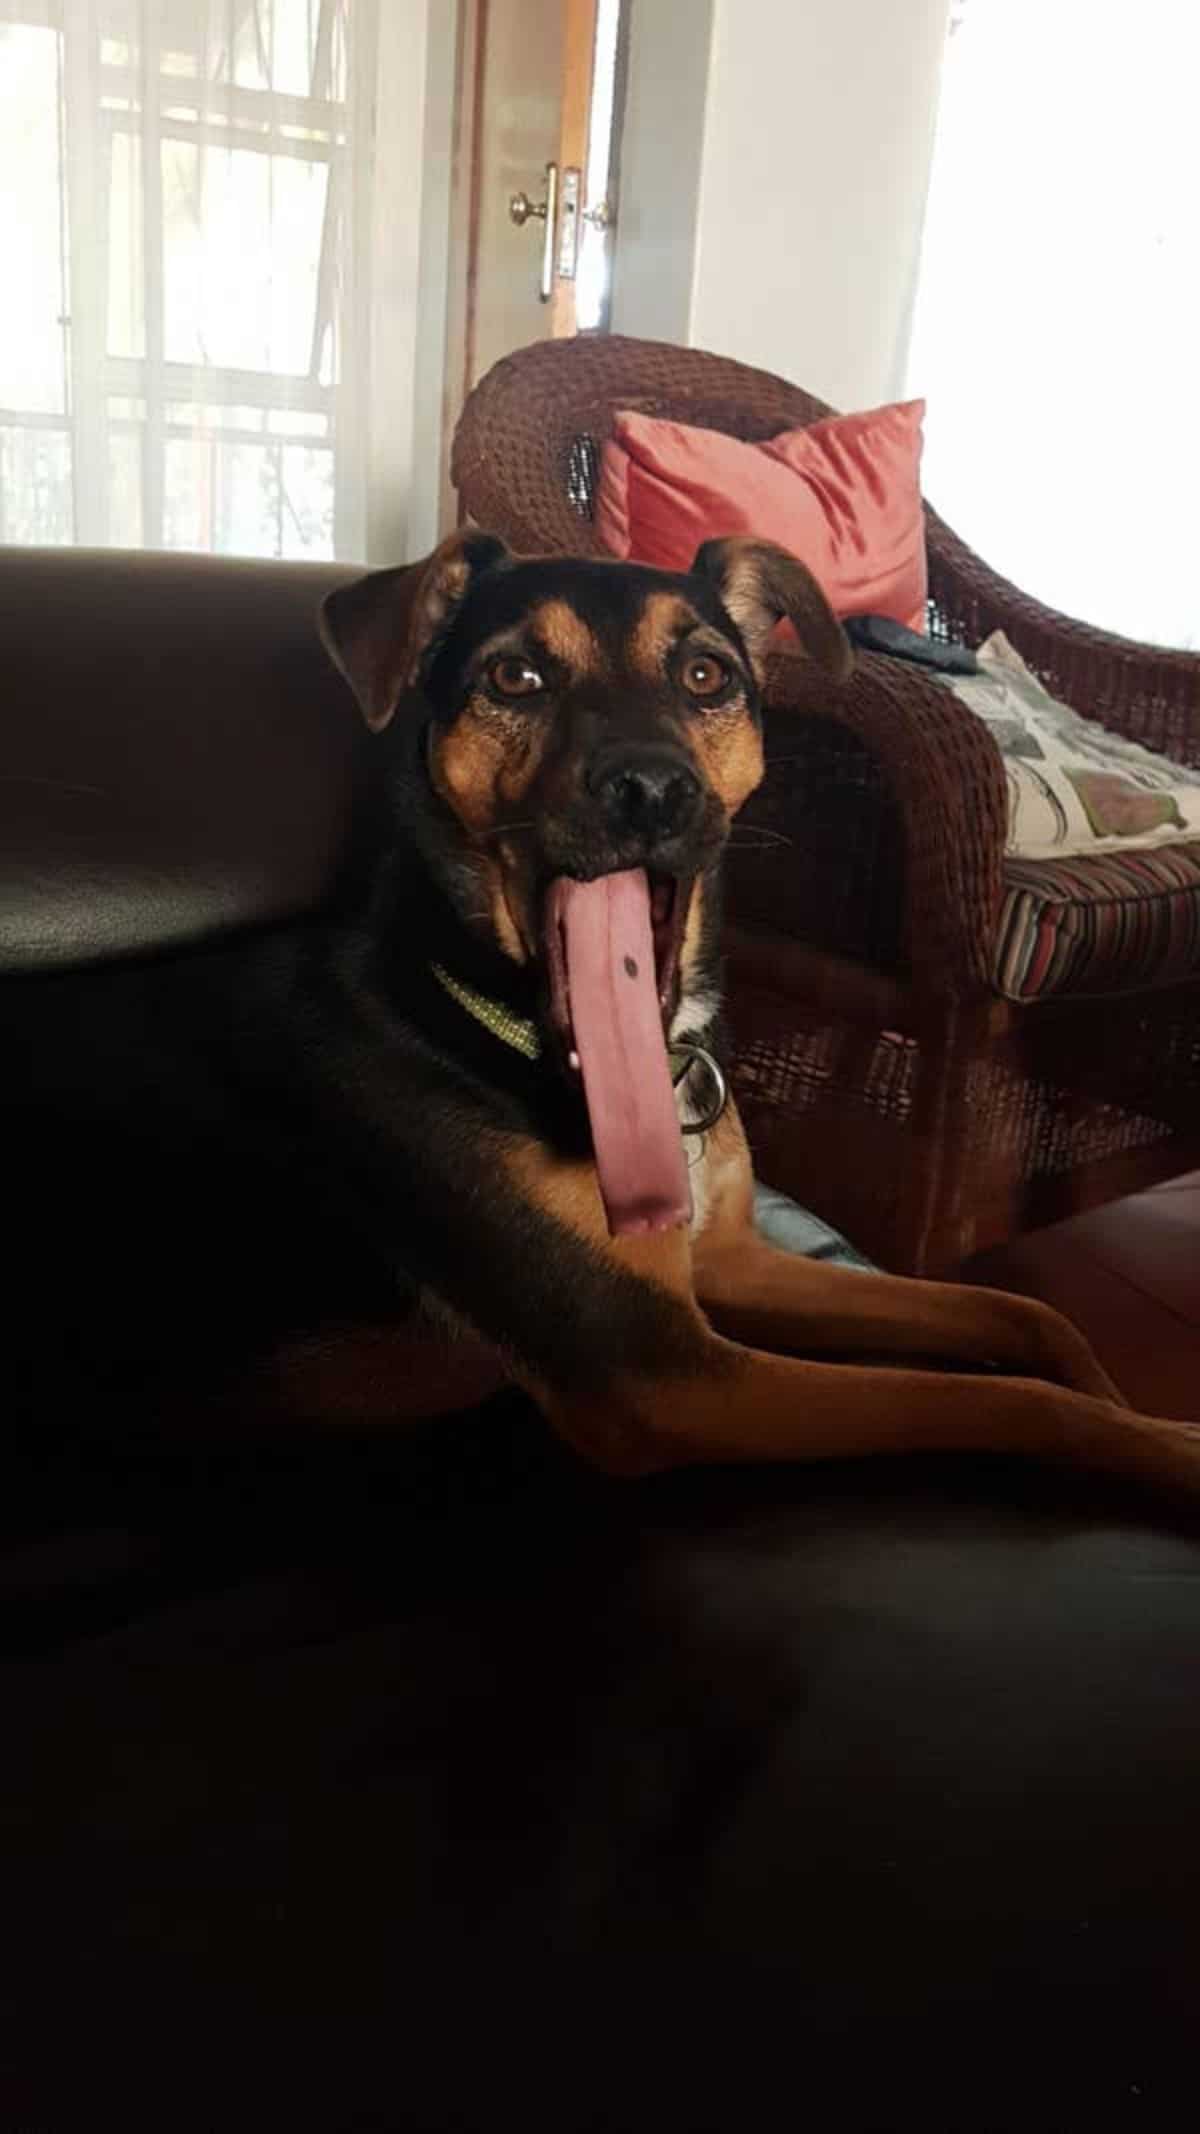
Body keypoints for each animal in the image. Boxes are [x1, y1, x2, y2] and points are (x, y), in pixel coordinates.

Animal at [9, 533, 1195, 1502]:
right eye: (515, 675)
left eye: (707, 674)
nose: (652, 789)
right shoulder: (663, 1369)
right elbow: (999, 1400)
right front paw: (1165, 1443)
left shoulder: (725, 1262)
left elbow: (1016, 1314)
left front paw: (1110, 1381)